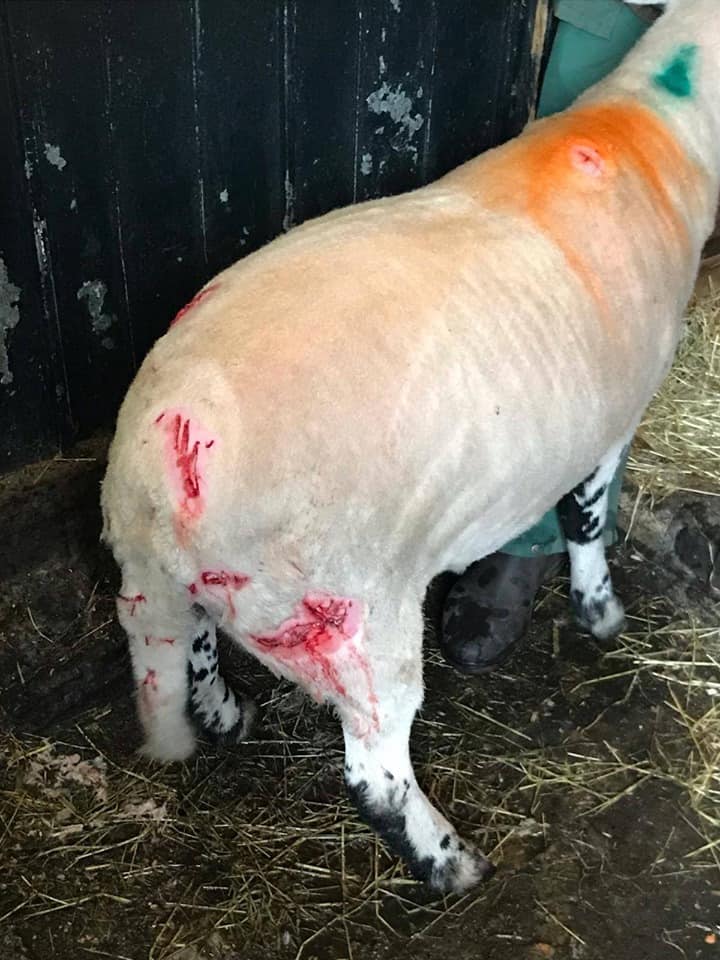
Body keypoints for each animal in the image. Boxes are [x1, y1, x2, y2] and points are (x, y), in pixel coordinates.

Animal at [101, 0, 720, 893]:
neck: (655, 125)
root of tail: (156, 481)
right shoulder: (613, 419)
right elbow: (587, 523)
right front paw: (601, 612)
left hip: (184, 586)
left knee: (190, 645)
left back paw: (225, 716)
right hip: (354, 623)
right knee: (375, 774)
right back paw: (450, 862)